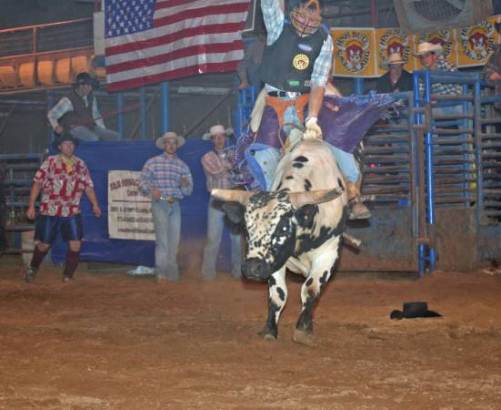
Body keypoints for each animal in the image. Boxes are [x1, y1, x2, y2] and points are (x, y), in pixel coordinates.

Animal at [212, 137, 348, 345]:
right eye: (246, 229)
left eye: (282, 228)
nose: (252, 267)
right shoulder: (274, 261)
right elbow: (278, 295)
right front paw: (270, 330)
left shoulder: (328, 253)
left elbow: (311, 289)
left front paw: (303, 330)